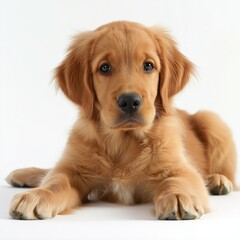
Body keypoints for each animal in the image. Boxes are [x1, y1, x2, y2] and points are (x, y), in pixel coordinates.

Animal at [6, 20, 237, 219]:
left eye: (148, 66)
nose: (129, 101)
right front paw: (38, 195)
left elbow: (177, 180)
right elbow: (55, 181)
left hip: (213, 121)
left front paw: (178, 196)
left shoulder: (180, 168)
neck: (123, 141)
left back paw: (217, 180)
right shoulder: (73, 170)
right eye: (105, 67)